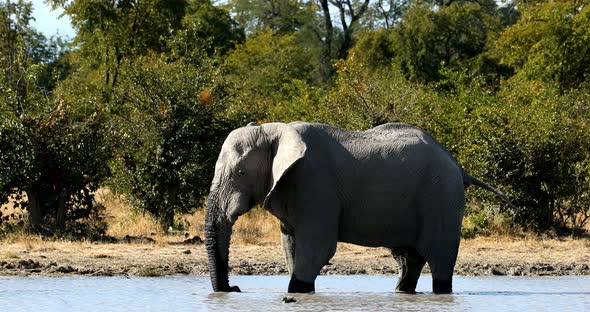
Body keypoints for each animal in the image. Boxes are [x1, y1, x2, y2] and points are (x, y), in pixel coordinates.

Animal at [206, 122, 516, 294]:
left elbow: (317, 249)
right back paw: (402, 292)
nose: (234, 288)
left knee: (439, 258)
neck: (272, 130)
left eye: (241, 173)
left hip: (442, 197)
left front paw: (297, 291)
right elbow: (291, 246)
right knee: (409, 258)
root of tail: (458, 166)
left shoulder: (315, 186)